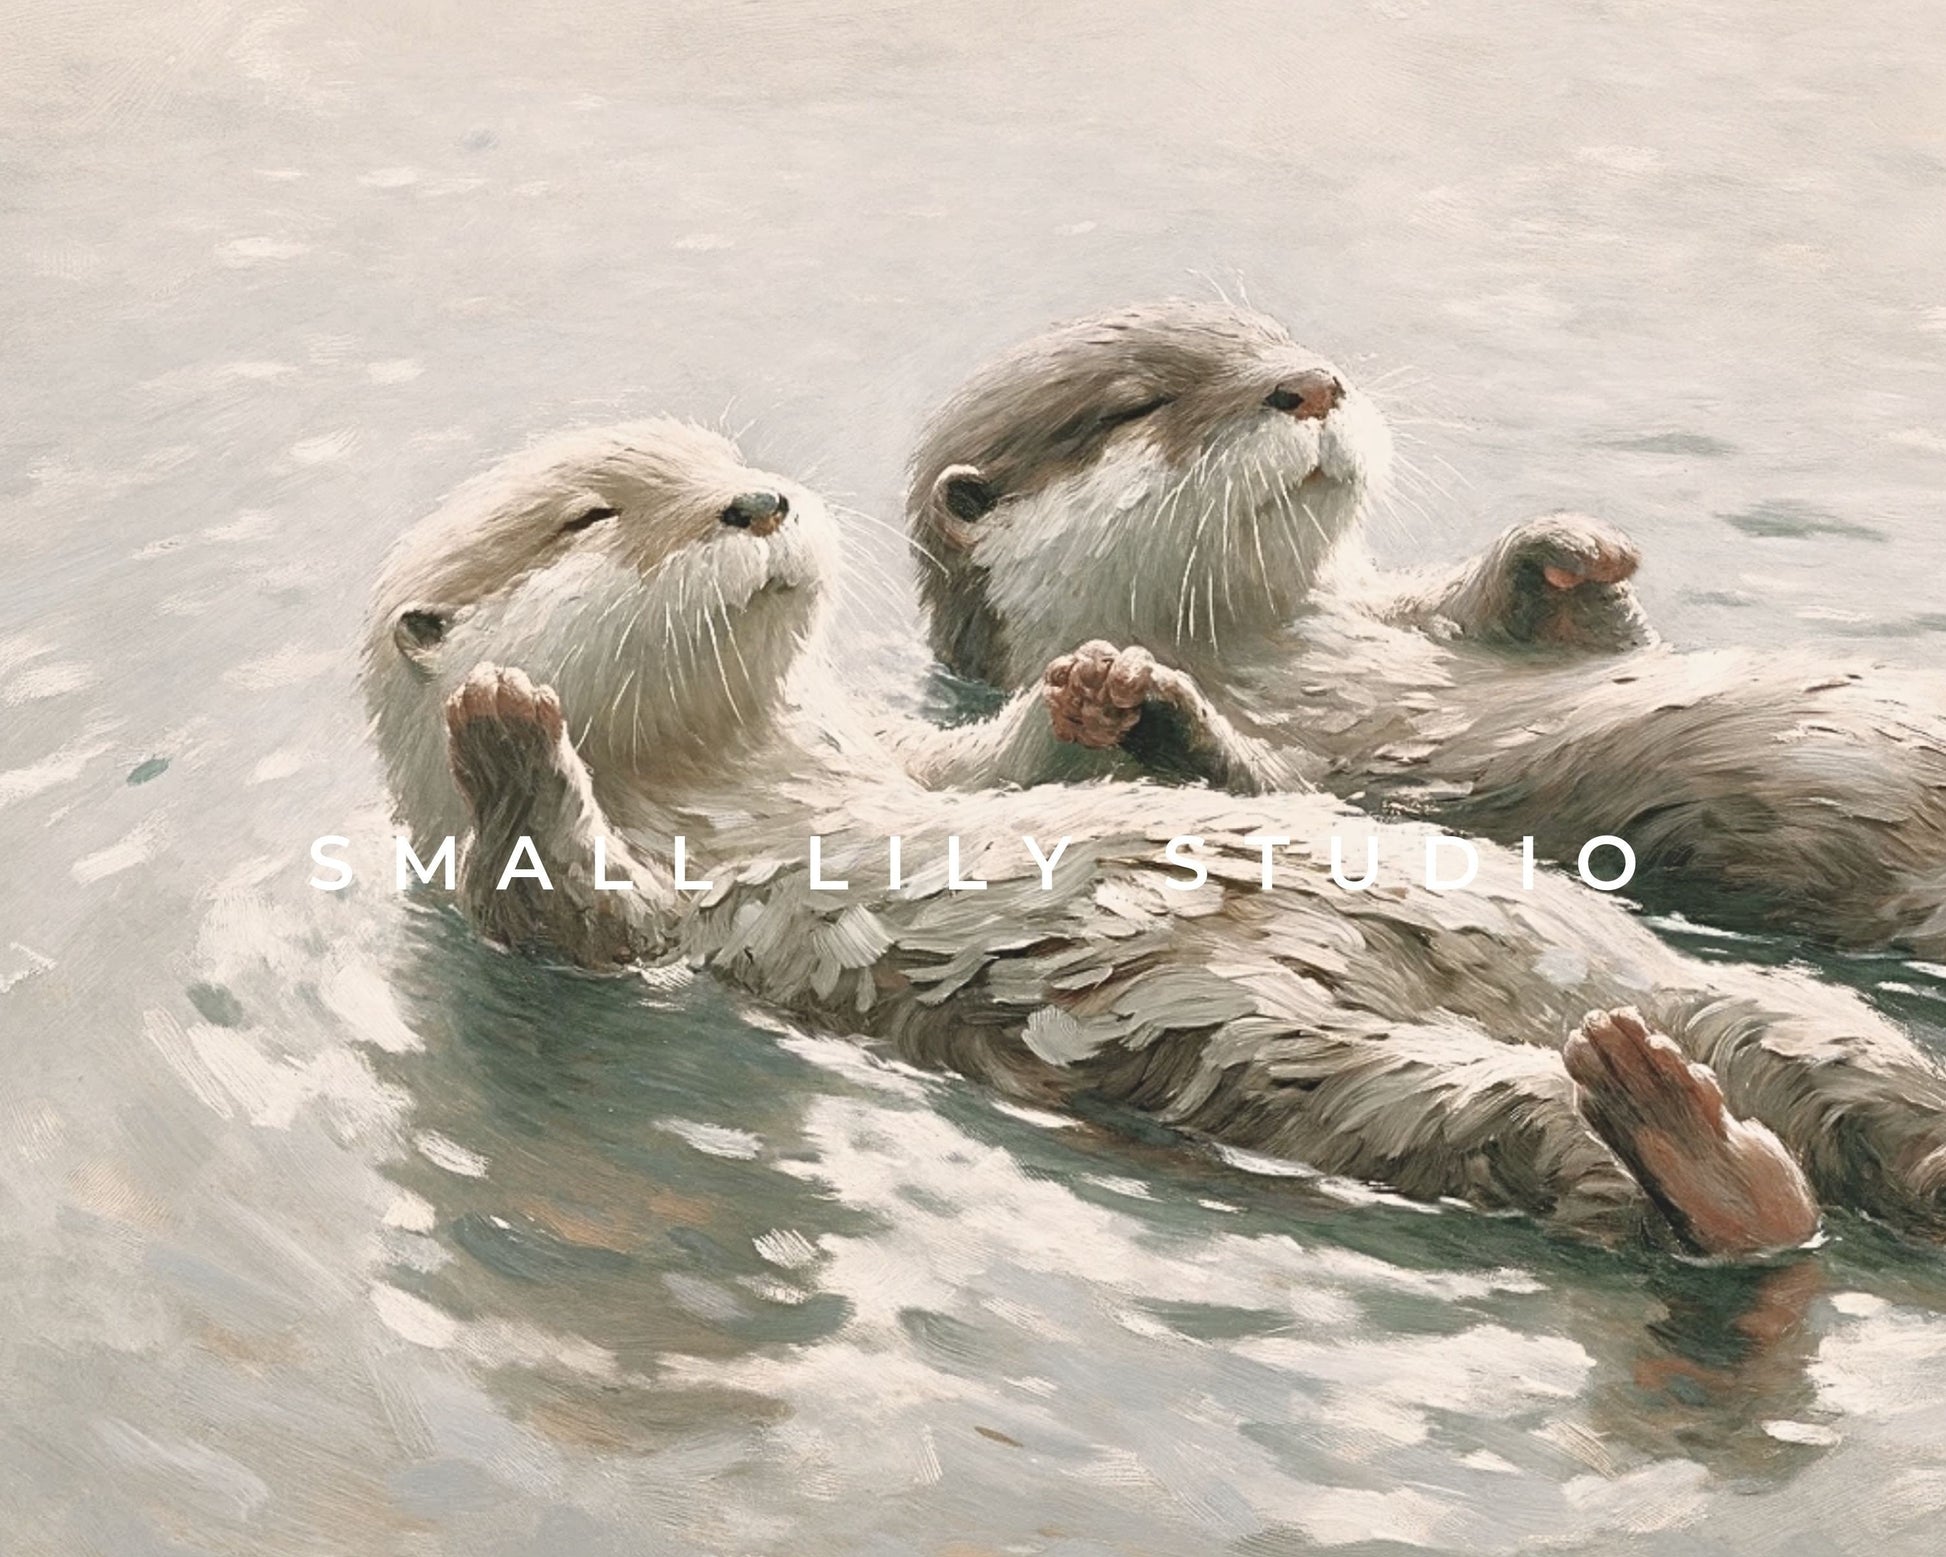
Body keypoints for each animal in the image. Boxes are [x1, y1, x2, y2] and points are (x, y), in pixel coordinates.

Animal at [362, 418, 1946, 1261]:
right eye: (594, 515)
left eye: (729, 460)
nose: (760, 501)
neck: (747, 766)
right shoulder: (659, 910)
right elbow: (579, 919)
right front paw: (507, 728)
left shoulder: (890, 755)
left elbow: (988, 765)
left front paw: (1111, 687)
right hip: (1302, 1061)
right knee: (1566, 1149)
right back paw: (1691, 1149)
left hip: (1696, 991)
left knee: (1827, 1070)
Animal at [901, 301, 1946, 956]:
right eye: (1139, 404)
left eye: (1277, 341)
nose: (1312, 382)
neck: (1280, 647)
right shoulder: (1330, 768)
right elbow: (1275, 790)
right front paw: (1136, 699)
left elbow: (1597, 636)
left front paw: (1565, 550)